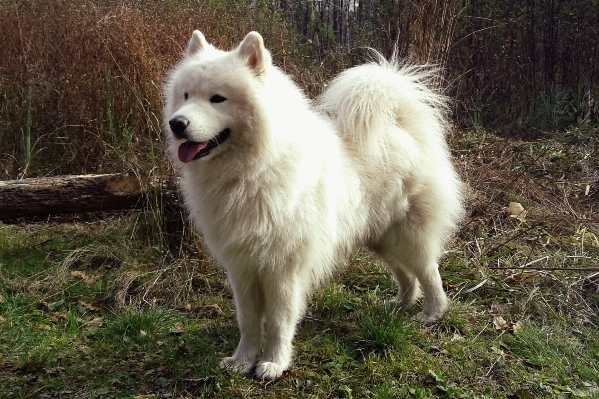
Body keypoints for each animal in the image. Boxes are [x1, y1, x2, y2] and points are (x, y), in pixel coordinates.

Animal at [163, 31, 464, 382]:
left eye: (217, 99)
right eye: (185, 95)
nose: (177, 123)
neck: (253, 170)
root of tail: (401, 126)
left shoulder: (282, 268)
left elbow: (279, 322)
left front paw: (274, 364)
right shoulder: (242, 267)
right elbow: (248, 322)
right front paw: (241, 361)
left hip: (407, 236)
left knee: (430, 273)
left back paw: (431, 314)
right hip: (380, 238)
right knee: (408, 276)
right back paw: (400, 304)